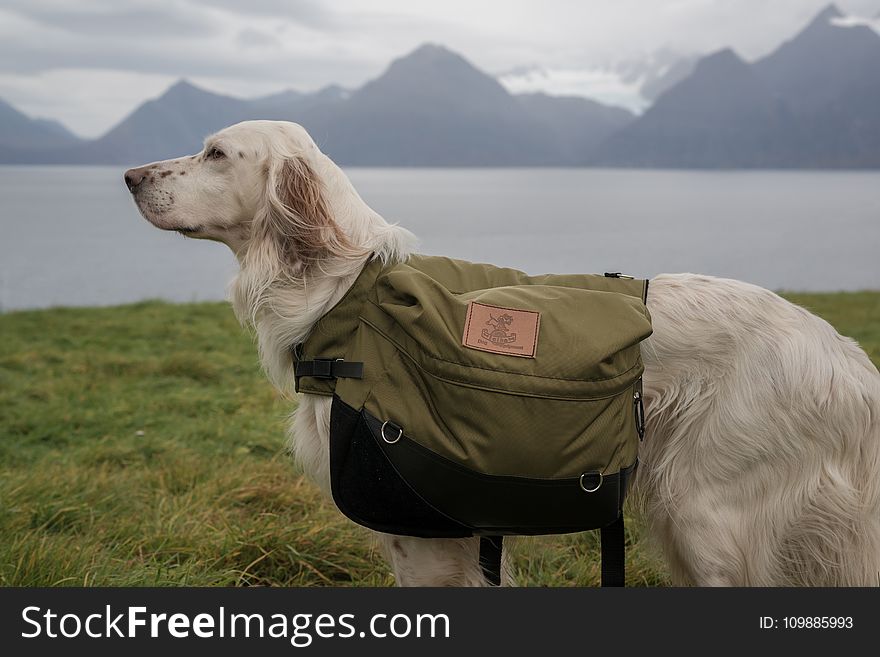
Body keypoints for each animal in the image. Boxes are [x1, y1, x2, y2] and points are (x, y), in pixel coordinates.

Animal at [124, 120, 880, 588]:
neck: (344, 291)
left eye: (216, 153)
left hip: (710, 517)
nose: (129, 175)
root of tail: (845, 358)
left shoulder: (423, 537)